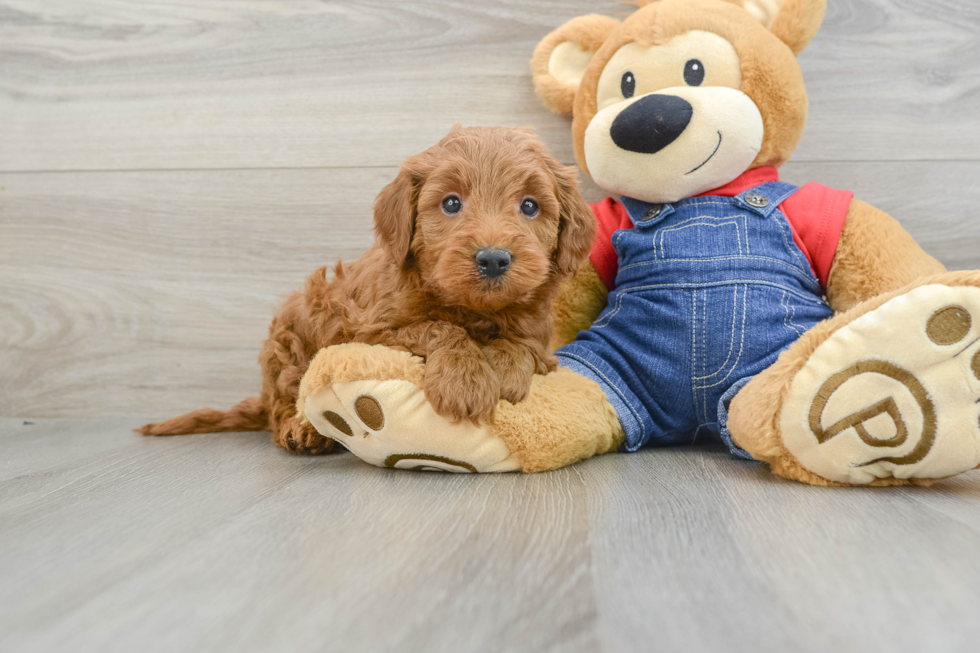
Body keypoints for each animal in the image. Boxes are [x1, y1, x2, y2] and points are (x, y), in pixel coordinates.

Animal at [138, 125, 596, 456]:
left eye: (530, 206)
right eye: (450, 203)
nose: (494, 259)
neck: (472, 308)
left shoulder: (540, 336)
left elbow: (521, 344)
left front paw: (502, 369)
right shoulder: (370, 329)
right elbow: (440, 328)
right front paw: (464, 381)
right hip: (289, 337)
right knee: (284, 402)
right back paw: (302, 430)